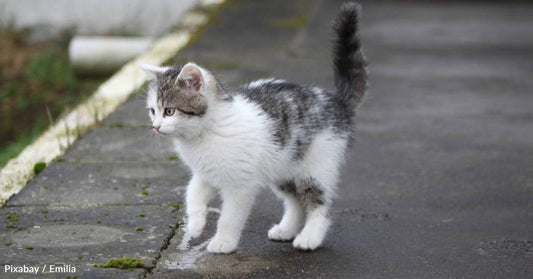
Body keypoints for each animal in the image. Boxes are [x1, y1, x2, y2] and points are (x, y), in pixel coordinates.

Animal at [139, 2, 368, 254]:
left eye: (170, 111)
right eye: (153, 111)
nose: (156, 126)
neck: (205, 133)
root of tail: (337, 101)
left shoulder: (240, 185)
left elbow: (230, 216)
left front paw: (223, 242)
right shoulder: (204, 173)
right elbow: (193, 193)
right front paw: (196, 225)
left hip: (315, 167)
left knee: (319, 204)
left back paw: (310, 237)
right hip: (283, 167)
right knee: (295, 201)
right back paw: (285, 230)